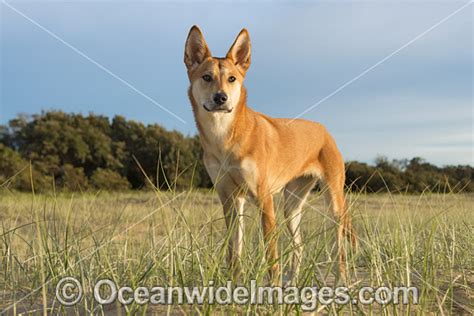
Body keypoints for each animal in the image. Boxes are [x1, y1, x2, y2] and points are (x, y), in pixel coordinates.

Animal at [183, 25, 354, 284]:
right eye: (206, 77)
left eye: (232, 78)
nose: (221, 98)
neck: (224, 137)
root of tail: (324, 129)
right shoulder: (230, 199)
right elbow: (234, 250)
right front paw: (236, 282)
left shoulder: (265, 199)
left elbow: (271, 255)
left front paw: (273, 287)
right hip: (291, 207)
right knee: (299, 245)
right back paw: (293, 281)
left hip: (334, 203)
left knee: (339, 248)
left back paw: (341, 280)